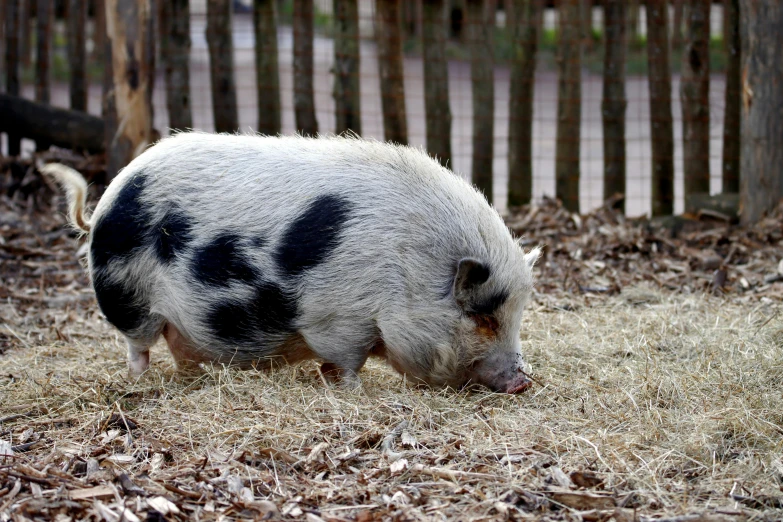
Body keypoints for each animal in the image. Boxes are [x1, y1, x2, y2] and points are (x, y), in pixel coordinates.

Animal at [43, 132, 544, 392]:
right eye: (483, 318)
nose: (523, 381)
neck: (408, 269)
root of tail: (102, 205)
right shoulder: (339, 320)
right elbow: (345, 363)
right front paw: (350, 391)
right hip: (126, 294)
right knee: (137, 346)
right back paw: (140, 382)